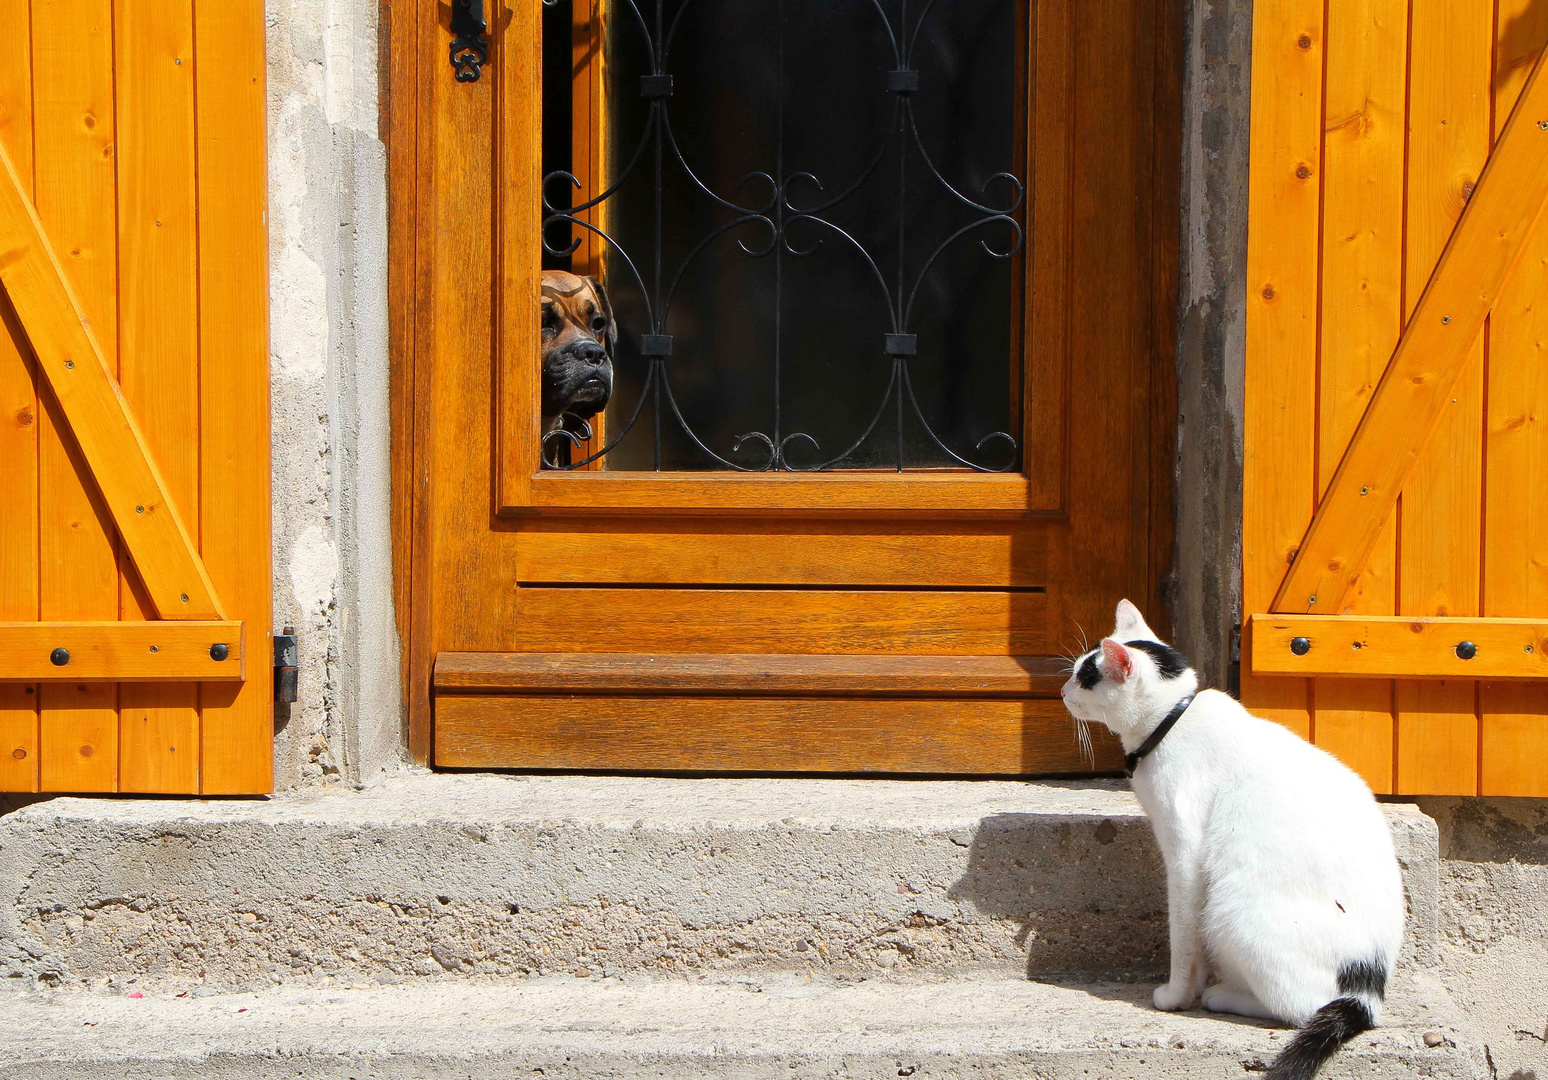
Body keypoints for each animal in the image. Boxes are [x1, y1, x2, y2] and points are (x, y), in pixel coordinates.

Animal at [1065, 597, 1405, 1076]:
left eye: (1084, 677)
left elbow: (1183, 933)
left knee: (1302, 1008)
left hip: (1232, 910)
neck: (1173, 718)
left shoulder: (1184, 853)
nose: (1062, 692)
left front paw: (1178, 994)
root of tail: (1367, 990)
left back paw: (1224, 996)